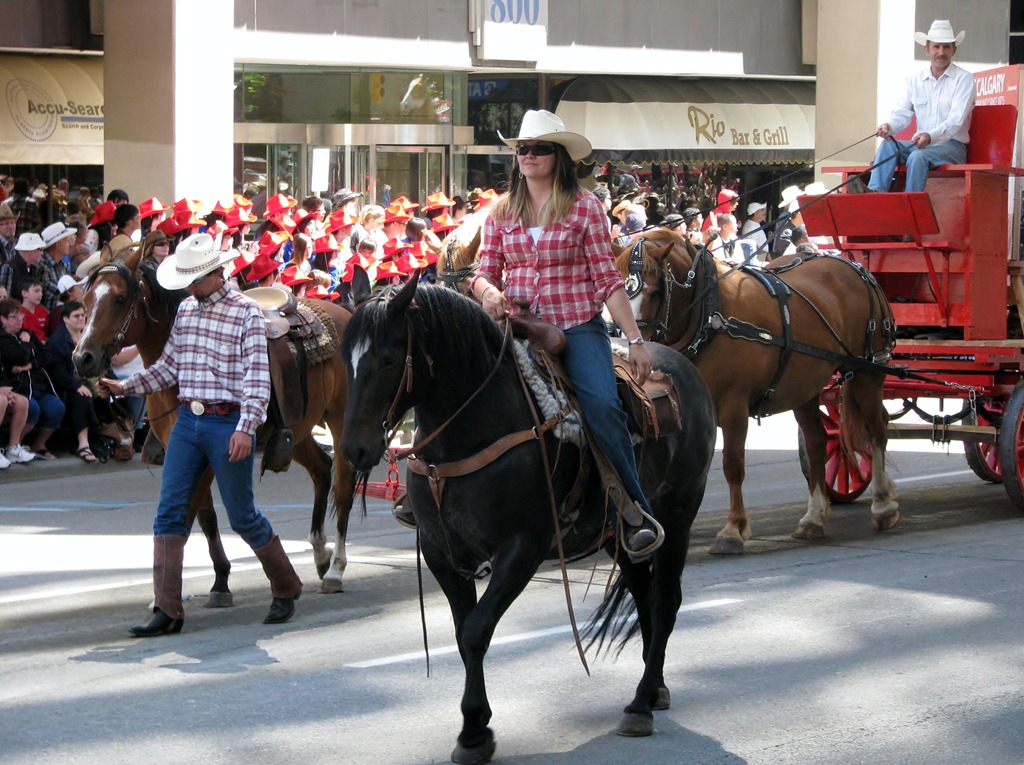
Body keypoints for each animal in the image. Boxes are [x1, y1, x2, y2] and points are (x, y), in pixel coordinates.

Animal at [74, 245, 358, 598]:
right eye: (86, 300)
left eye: (120, 298)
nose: (82, 358)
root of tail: (345, 313)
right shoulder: (184, 449)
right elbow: (205, 515)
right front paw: (219, 579)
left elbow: (190, 515)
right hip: (299, 429)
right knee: (321, 469)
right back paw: (320, 553)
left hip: (340, 419)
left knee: (343, 486)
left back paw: (336, 568)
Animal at [339, 280, 716, 765]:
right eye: (346, 359)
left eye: (388, 358)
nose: (354, 450)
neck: (471, 433)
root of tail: (683, 365)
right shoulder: (441, 553)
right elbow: (462, 633)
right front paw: (475, 728)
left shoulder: (521, 550)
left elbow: (476, 631)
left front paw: (473, 731)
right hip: (617, 537)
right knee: (643, 593)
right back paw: (654, 692)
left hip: (678, 517)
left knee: (665, 600)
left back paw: (640, 703)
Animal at [610, 230, 901, 553]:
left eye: (655, 292)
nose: (628, 345)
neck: (709, 313)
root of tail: (855, 268)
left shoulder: (734, 407)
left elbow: (732, 465)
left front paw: (733, 529)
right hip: (805, 385)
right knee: (817, 442)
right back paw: (814, 517)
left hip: (867, 370)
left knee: (877, 429)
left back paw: (883, 505)